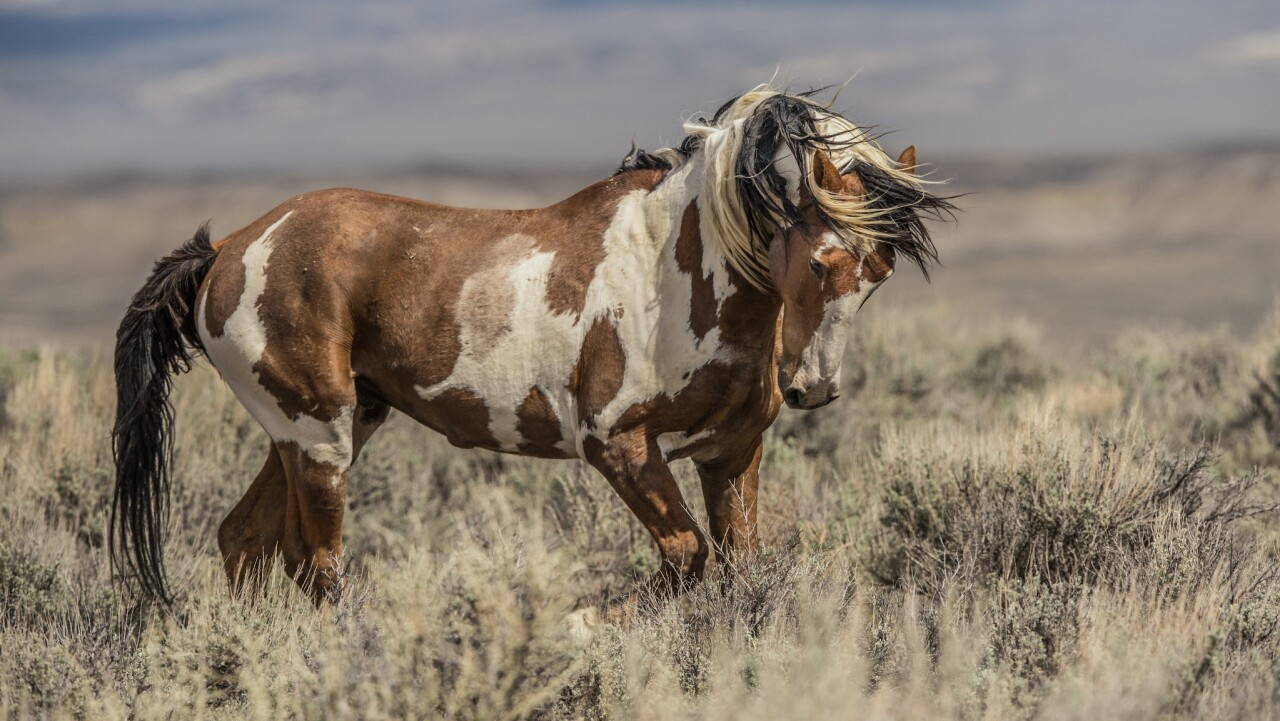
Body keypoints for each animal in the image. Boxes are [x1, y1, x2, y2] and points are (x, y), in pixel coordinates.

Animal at [111, 85, 955, 605]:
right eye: (821, 261)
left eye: (879, 272)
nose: (814, 386)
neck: (673, 272)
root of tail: (226, 249)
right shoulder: (618, 445)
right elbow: (684, 560)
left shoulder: (729, 453)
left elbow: (733, 568)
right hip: (319, 437)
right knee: (317, 566)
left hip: (318, 430)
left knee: (244, 541)